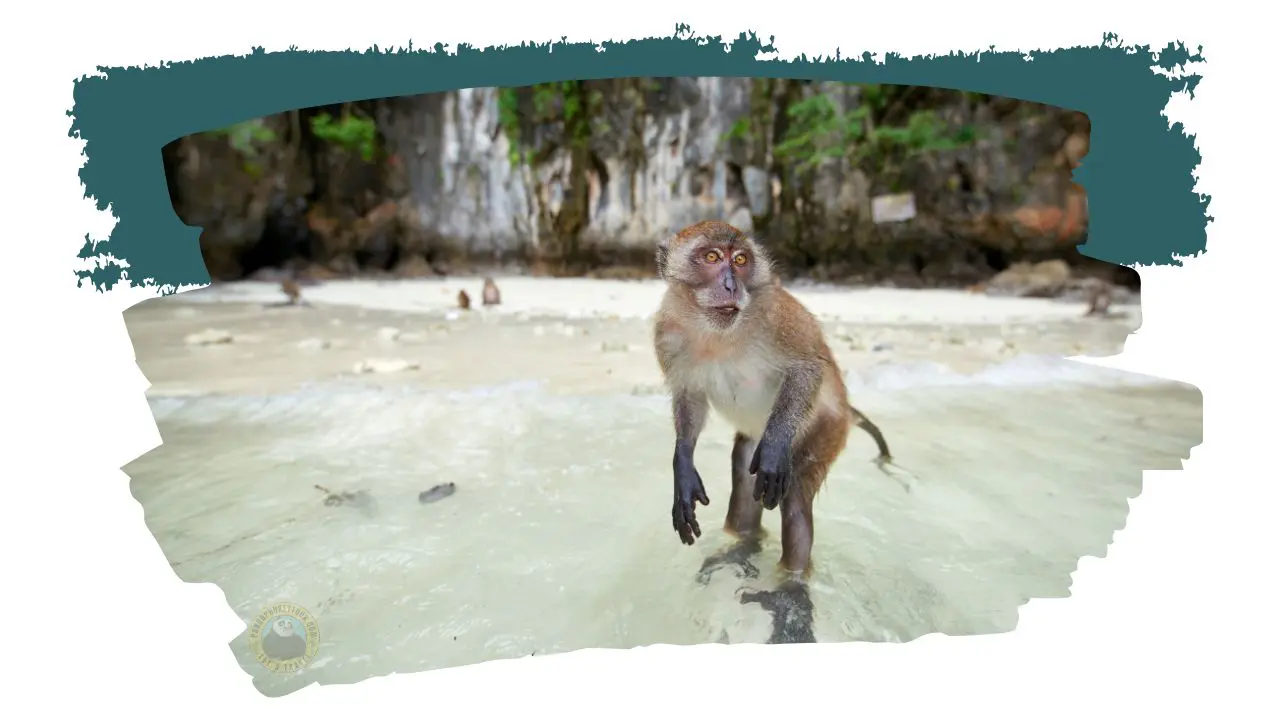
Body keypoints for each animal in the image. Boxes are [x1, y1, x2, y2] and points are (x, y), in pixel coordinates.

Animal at [653, 220, 895, 581]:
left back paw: (790, 582)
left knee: (794, 495)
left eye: (740, 260)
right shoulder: (666, 333)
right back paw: (739, 547)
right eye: (712, 257)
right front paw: (682, 467)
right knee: (744, 484)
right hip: (753, 440)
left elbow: (807, 367)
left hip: (827, 428)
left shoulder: (776, 314)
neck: (716, 333)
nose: (731, 284)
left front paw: (775, 445)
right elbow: (689, 397)